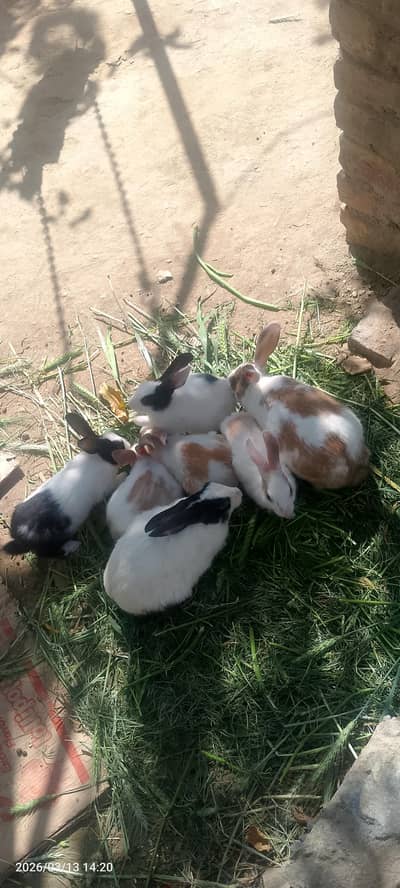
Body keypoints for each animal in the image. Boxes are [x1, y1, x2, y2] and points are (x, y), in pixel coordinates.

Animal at [3, 413, 130, 558]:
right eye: (119, 447)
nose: (129, 444)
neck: (100, 457)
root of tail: (19, 535)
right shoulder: (106, 487)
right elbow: (117, 481)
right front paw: (125, 474)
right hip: (50, 542)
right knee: (49, 553)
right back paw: (73, 546)